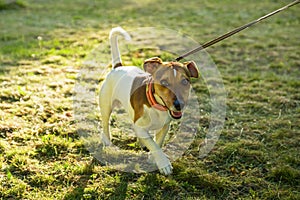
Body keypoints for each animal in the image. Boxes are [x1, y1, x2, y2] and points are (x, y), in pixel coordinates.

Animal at [99, 27, 198, 175]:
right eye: (164, 82)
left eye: (185, 81)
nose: (179, 105)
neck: (157, 106)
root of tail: (118, 67)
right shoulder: (141, 126)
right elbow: (153, 143)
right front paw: (163, 163)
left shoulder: (165, 126)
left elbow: (158, 142)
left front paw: (153, 157)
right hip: (106, 106)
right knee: (105, 123)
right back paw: (107, 140)